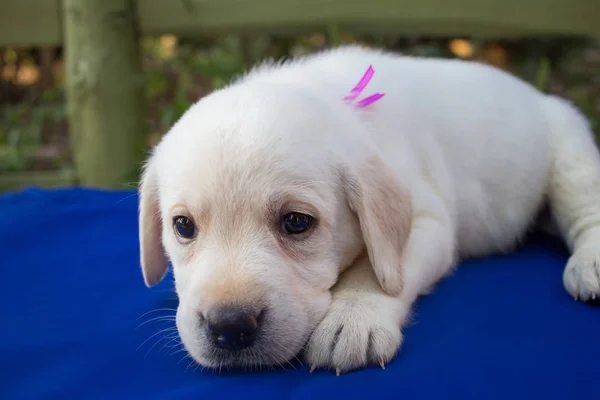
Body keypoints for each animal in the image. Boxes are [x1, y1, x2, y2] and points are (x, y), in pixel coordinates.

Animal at [137, 44, 600, 376]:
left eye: (296, 223)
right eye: (183, 226)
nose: (229, 327)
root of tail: (540, 96)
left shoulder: (427, 223)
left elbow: (380, 272)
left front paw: (352, 316)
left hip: (570, 151)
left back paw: (591, 263)